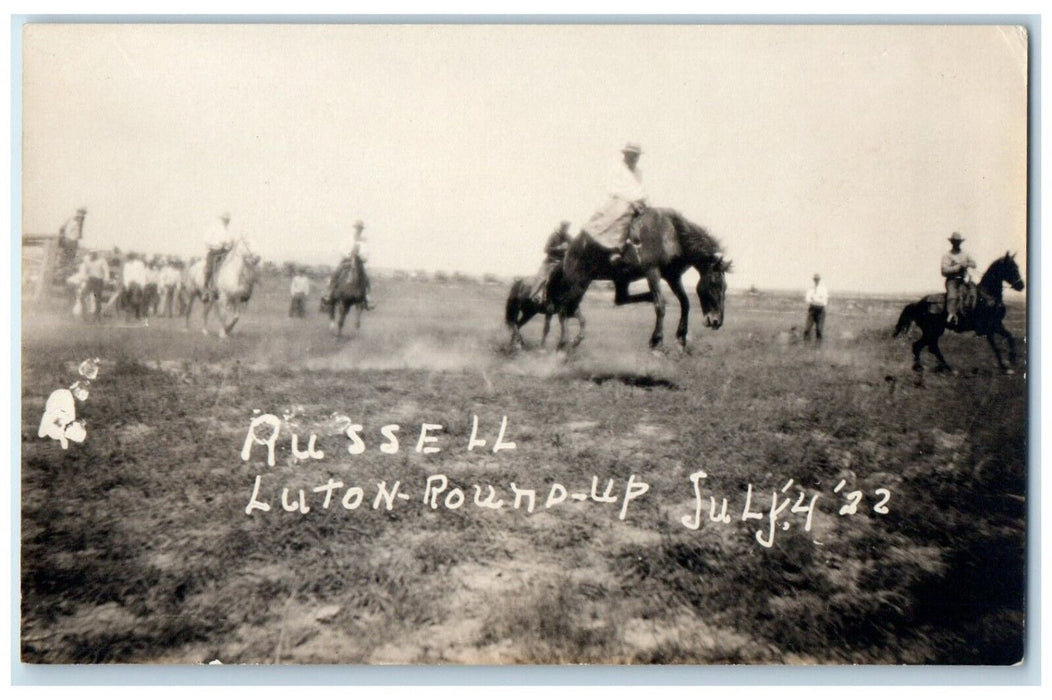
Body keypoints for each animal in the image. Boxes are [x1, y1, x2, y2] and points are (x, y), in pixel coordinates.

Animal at [559, 206, 732, 349]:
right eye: (714, 283)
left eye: (725, 287)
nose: (717, 321)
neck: (671, 233)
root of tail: (573, 244)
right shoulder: (652, 272)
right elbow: (660, 305)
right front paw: (657, 341)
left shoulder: (673, 276)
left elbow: (685, 302)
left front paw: (681, 338)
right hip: (579, 283)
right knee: (564, 309)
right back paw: (564, 345)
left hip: (619, 280)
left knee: (618, 300)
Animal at [892, 249, 1022, 370]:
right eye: (1012, 267)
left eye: (1016, 266)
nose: (1021, 286)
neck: (987, 295)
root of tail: (918, 303)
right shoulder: (989, 328)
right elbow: (996, 347)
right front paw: (1005, 366)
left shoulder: (997, 324)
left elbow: (1010, 337)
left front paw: (1011, 360)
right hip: (932, 331)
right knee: (922, 346)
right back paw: (930, 367)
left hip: (934, 332)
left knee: (927, 347)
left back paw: (938, 366)